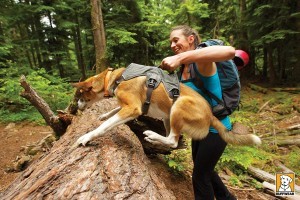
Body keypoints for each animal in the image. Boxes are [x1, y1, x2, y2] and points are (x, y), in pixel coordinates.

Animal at [71, 67, 262, 148]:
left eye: (79, 95)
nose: (77, 108)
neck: (115, 78)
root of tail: (210, 115)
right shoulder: (133, 107)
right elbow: (112, 112)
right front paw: (104, 115)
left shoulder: (133, 108)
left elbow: (104, 126)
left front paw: (87, 137)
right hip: (166, 117)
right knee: (172, 141)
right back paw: (155, 139)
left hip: (179, 105)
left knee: (172, 140)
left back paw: (152, 135)